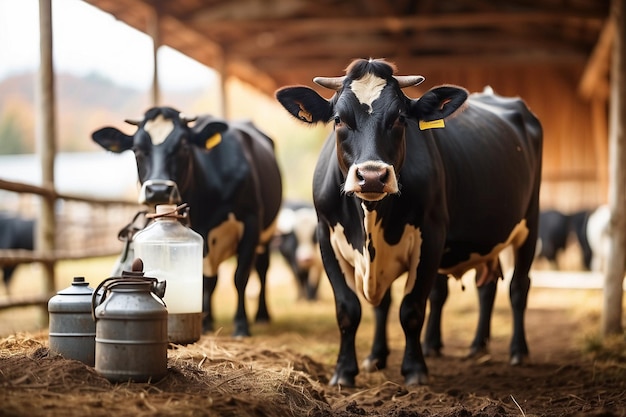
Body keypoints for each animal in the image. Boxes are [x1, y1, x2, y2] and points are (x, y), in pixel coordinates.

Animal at [91, 106, 282, 334]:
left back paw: (262, 315)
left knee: (262, 268)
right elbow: (204, 280)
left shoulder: (251, 220)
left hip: (267, 233)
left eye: (183, 146)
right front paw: (206, 322)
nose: (158, 190)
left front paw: (241, 325)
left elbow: (240, 276)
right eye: (137, 149)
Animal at [274, 57, 540, 384]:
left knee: (518, 287)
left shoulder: (432, 234)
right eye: (338, 120)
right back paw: (471, 346)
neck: (370, 224)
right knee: (481, 287)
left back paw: (518, 351)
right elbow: (353, 308)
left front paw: (414, 370)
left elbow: (411, 308)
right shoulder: (327, 237)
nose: (372, 176)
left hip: (529, 223)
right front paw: (353, 367)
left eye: (400, 118)